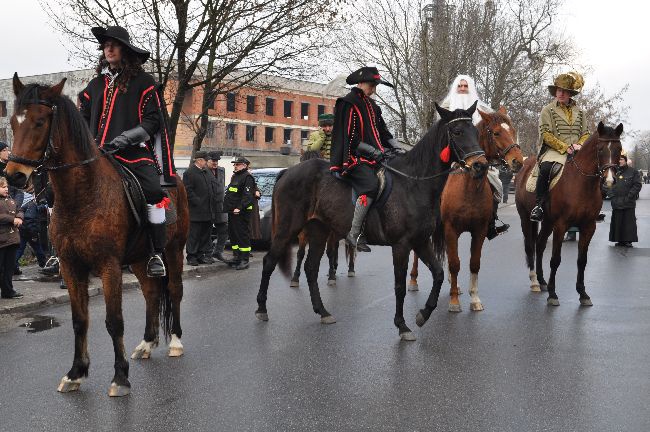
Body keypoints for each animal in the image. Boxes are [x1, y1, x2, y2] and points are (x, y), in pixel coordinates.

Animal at [5, 75, 187, 398]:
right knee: (152, 293)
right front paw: (76, 373)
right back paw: (147, 343)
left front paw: (120, 377)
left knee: (175, 289)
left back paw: (175, 342)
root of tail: (175, 178)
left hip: (174, 249)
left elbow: (114, 321)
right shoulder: (71, 266)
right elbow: (80, 321)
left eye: (40, 121)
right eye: (13, 122)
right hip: (140, 258)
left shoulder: (109, 266)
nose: (14, 175)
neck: (81, 196)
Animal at [253, 102, 486, 340]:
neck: (413, 183)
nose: (481, 166)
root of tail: (287, 172)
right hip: (287, 229)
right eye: (457, 132)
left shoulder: (420, 241)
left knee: (310, 268)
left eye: (476, 132)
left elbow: (438, 274)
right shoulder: (401, 245)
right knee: (269, 262)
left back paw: (323, 311)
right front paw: (402, 325)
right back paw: (262, 309)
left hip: (319, 230)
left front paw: (423, 314)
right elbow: (400, 286)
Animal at [440, 107, 520, 310]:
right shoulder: (451, 229)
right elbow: (455, 263)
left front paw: (474, 298)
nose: (518, 161)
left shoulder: (479, 230)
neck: (468, 187)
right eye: (497, 133)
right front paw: (454, 301)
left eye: (513, 131)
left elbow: (474, 263)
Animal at [512, 120, 620, 306]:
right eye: (600, 149)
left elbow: (582, 260)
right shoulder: (561, 225)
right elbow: (555, 260)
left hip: (547, 222)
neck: (581, 183)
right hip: (526, 218)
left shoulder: (588, 227)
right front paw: (553, 294)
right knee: (530, 246)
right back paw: (535, 282)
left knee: (540, 245)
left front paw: (583, 293)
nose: (609, 180)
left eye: (618, 148)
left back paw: (541, 280)